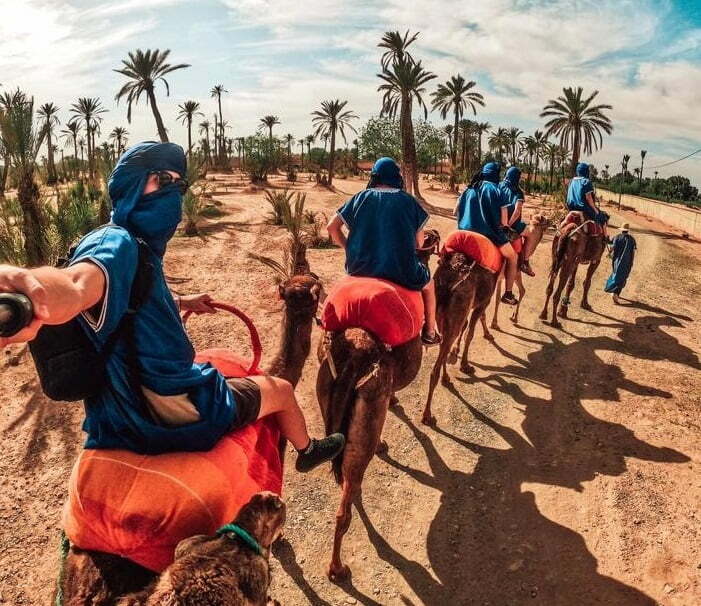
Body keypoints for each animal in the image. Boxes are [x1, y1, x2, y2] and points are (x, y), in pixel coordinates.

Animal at [316, 230, 440, 581]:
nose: (433, 235)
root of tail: (358, 351)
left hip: (325, 388)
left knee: (345, 473)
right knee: (344, 506)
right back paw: (337, 569)